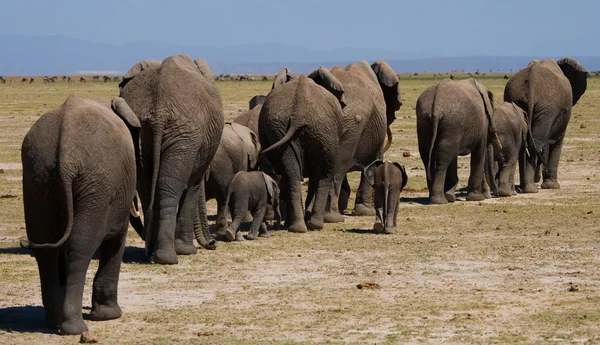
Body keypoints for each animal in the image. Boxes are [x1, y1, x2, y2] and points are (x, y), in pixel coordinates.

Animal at [21, 94, 141, 334]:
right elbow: (117, 240)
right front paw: (109, 316)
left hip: (37, 179)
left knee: (45, 247)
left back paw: (55, 322)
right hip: (95, 185)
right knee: (80, 245)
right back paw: (74, 328)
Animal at [119, 54, 225, 264]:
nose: (213, 244)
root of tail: (159, 111)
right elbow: (193, 186)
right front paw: (187, 251)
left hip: (140, 132)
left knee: (146, 188)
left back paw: (152, 254)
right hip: (185, 135)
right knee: (170, 187)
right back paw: (168, 257)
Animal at [258, 67, 346, 232]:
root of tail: (298, 113)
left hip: (289, 129)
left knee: (291, 174)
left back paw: (298, 227)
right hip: (322, 131)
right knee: (325, 174)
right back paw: (314, 224)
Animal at [504, 56, 588, 192]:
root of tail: (531, 82)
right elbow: (555, 141)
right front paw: (552, 186)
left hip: (516, 100)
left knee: (525, 144)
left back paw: (524, 187)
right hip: (547, 107)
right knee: (536, 143)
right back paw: (531, 189)